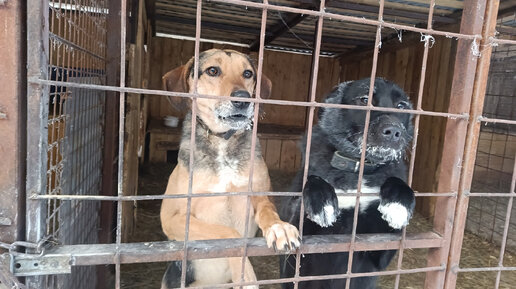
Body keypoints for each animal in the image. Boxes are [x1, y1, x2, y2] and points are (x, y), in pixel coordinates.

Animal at [159, 48, 300, 286]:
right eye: (213, 71)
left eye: (248, 73)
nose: (243, 99)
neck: (222, 143)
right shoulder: (170, 218)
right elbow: (230, 235)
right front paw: (247, 277)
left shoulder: (259, 195)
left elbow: (268, 210)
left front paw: (279, 227)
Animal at [280, 77, 418, 286]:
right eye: (364, 99)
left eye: (402, 106)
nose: (394, 131)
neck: (357, 170)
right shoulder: (298, 253)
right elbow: (312, 182)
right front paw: (322, 199)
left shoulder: (380, 251)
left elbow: (395, 180)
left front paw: (398, 204)